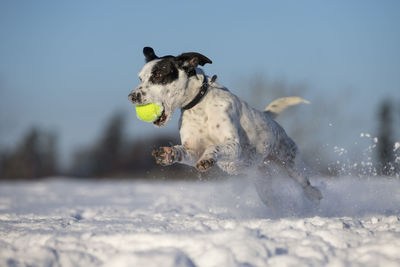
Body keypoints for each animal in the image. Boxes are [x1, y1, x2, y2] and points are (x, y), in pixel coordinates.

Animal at [130, 46, 324, 205]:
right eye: (140, 78)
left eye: (158, 75)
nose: (132, 96)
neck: (199, 106)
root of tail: (270, 118)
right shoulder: (193, 149)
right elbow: (183, 152)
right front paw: (168, 153)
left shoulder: (233, 144)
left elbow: (214, 147)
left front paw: (208, 158)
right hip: (263, 182)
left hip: (291, 163)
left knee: (306, 184)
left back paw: (315, 194)